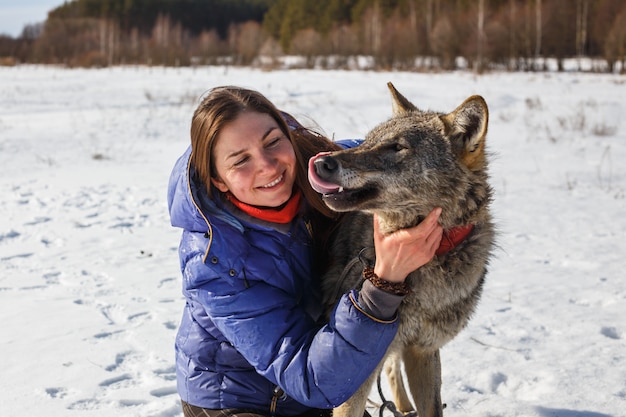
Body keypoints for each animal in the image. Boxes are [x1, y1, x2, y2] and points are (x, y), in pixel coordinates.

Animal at [306, 83, 492, 416]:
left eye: (397, 147)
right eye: (368, 141)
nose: (320, 163)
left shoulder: (424, 349)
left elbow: (432, 407)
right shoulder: (354, 376)